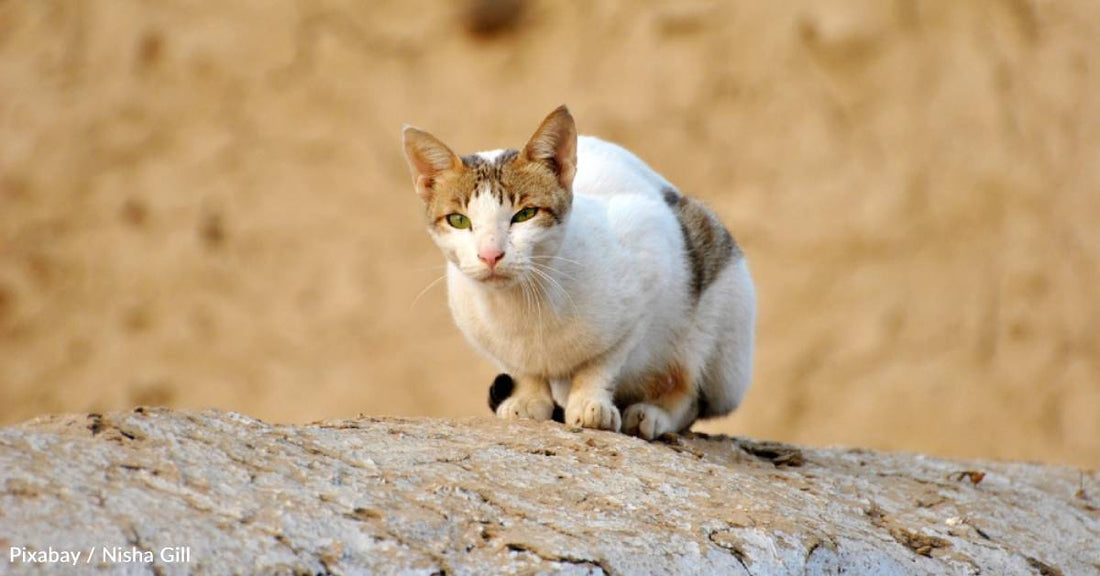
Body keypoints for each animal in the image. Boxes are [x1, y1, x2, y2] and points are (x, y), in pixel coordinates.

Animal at [404, 105, 756, 439]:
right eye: (458, 220)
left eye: (525, 214)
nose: (490, 254)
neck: (525, 305)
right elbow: (521, 367)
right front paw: (529, 397)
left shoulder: (648, 263)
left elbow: (602, 362)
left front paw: (590, 403)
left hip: (720, 316)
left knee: (690, 391)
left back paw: (652, 414)